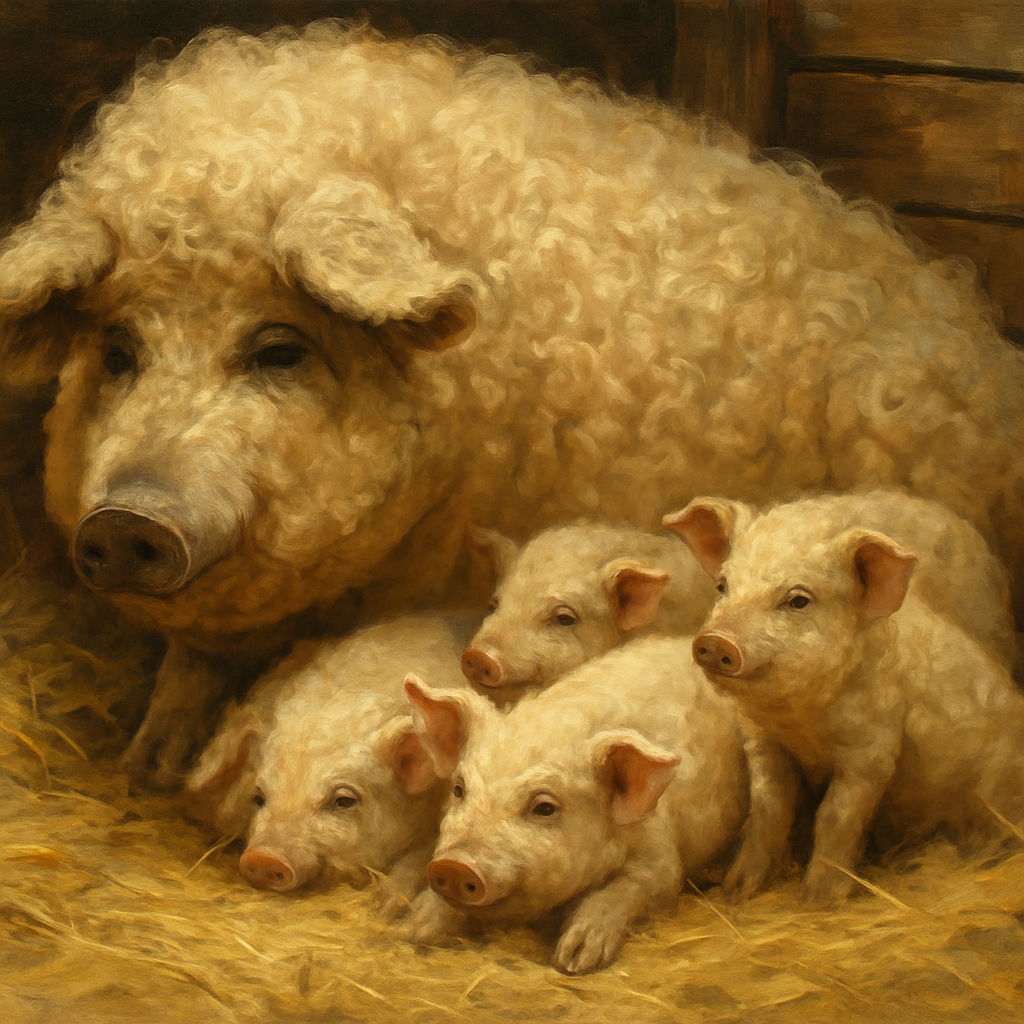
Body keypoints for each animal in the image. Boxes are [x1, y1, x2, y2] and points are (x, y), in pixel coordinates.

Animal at [403, 636, 750, 974]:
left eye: (544, 807)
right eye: (459, 789)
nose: (453, 866)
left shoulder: (661, 854)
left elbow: (634, 886)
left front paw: (573, 960)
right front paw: (416, 928)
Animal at [666, 492, 1024, 905]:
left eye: (798, 600)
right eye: (723, 585)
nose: (714, 641)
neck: (801, 722)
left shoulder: (874, 750)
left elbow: (836, 815)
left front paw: (818, 902)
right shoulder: (763, 741)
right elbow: (768, 808)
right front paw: (733, 893)